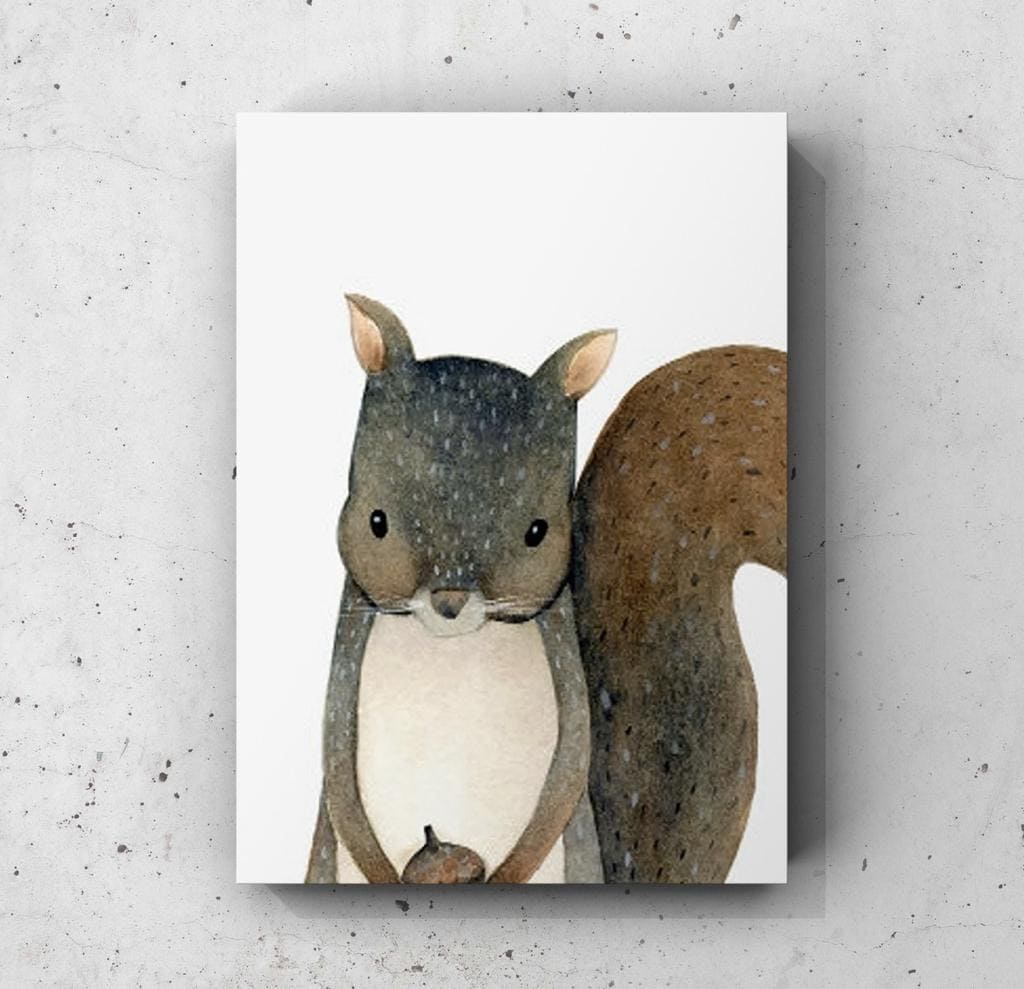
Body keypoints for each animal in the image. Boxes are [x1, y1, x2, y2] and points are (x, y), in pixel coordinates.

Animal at [305, 294, 786, 884]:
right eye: (378, 522)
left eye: (538, 532)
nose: (448, 603)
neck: (452, 648)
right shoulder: (348, 654)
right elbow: (336, 768)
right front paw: (380, 868)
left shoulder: (562, 657)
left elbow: (570, 764)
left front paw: (511, 870)